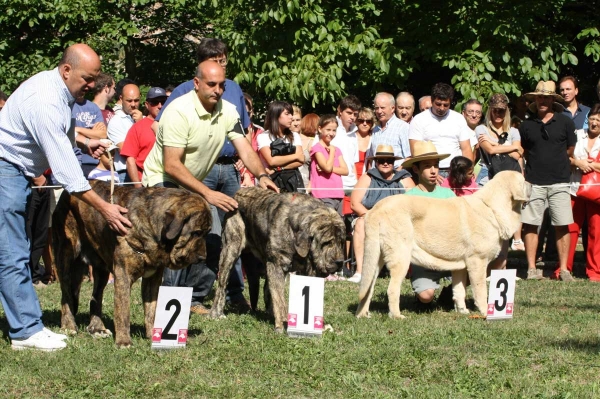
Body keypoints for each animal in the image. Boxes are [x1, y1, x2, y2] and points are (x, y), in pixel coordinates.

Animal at [52, 181, 211, 346]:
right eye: (196, 233)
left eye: (207, 233)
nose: (203, 257)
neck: (153, 231)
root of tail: (66, 193)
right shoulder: (123, 275)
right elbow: (123, 310)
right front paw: (123, 341)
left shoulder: (153, 279)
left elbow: (152, 308)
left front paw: (154, 335)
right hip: (66, 254)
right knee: (66, 294)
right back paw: (69, 325)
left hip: (101, 269)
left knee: (95, 297)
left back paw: (97, 329)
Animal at [209, 188, 344, 332]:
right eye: (326, 243)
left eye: (341, 241)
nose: (340, 262)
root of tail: (238, 192)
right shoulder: (277, 264)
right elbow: (279, 298)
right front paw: (283, 324)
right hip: (231, 250)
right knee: (222, 285)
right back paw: (216, 313)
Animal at [356, 171, 528, 318]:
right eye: (524, 181)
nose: (532, 184)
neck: (491, 207)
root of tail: (375, 209)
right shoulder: (478, 262)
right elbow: (480, 291)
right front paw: (486, 312)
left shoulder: (461, 267)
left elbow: (459, 290)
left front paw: (463, 311)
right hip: (400, 259)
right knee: (392, 289)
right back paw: (396, 316)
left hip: (375, 259)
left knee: (368, 288)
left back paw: (362, 314)